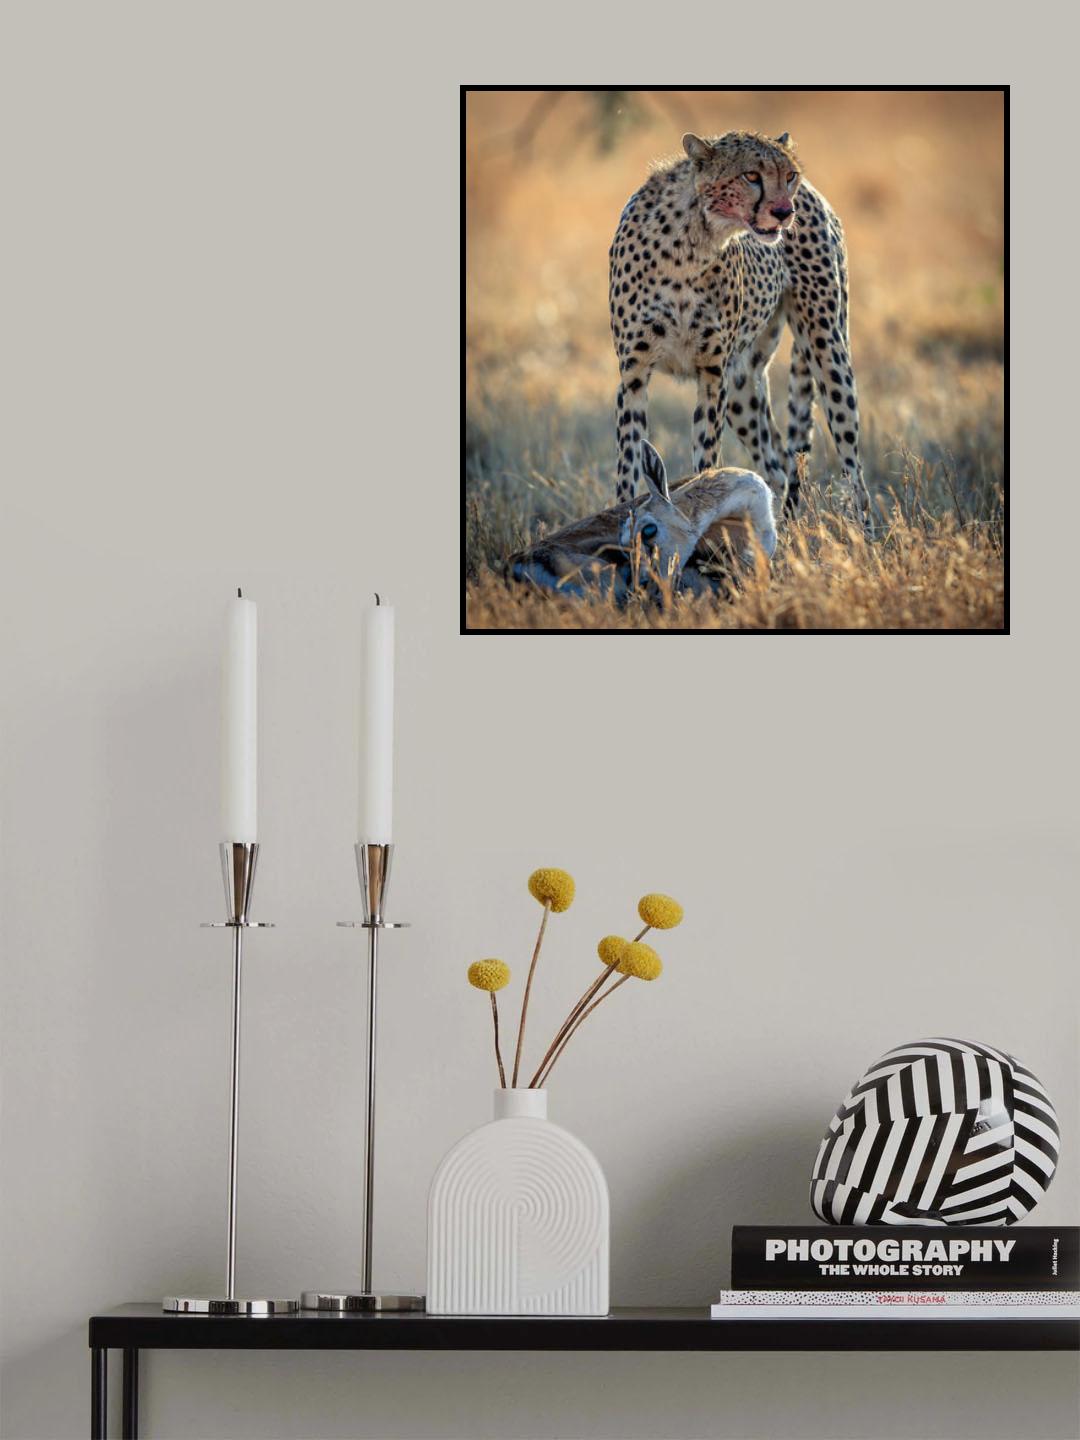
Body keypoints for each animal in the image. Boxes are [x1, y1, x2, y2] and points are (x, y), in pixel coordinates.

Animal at [609, 130, 870, 526]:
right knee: (779, 464)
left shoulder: (712, 375)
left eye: (788, 175)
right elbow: (628, 465)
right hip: (744, 385)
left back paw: (867, 533)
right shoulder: (634, 374)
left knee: (852, 464)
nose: (784, 212)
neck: (691, 243)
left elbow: (706, 459)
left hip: (826, 348)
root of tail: (815, 195)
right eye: (750, 176)